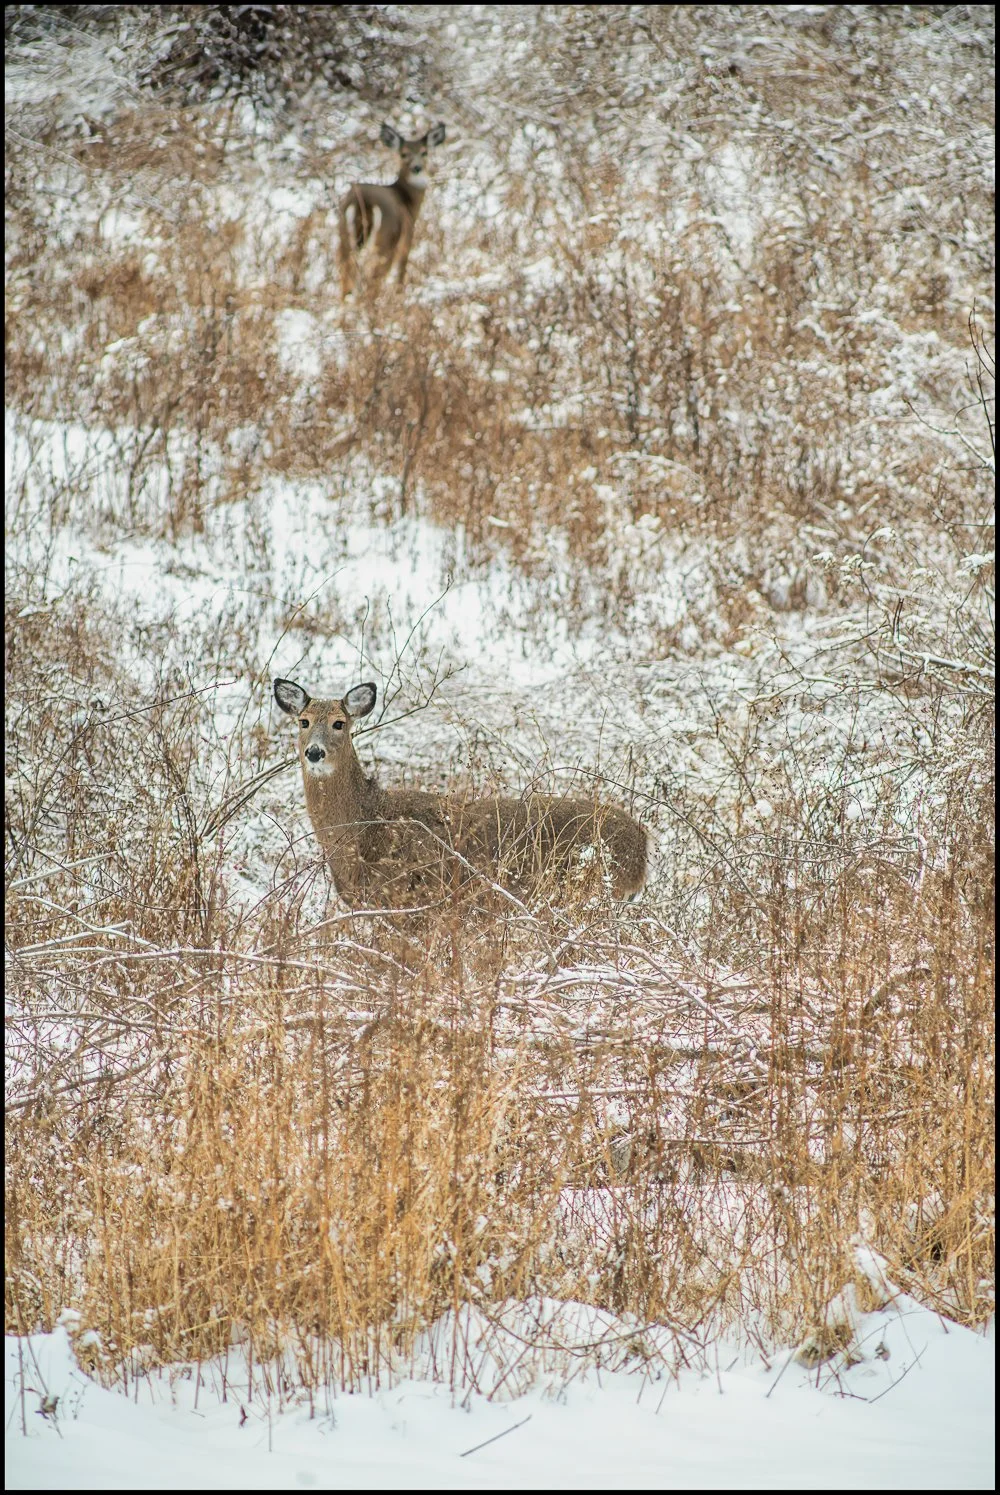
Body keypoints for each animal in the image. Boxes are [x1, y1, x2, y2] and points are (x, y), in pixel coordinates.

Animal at [273, 678, 648, 908]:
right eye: (303, 722)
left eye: (340, 723)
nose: (315, 752)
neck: (366, 826)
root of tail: (643, 846)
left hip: (591, 888)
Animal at [337, 121, 446, 299]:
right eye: (403, 154)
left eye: (424, 152)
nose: (416, 168)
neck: (407, 201)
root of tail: (365, 203)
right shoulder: (407, 239)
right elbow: (401, 274)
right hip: (385, 242)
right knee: (372, 283)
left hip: (344, 236)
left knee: (346, 277)